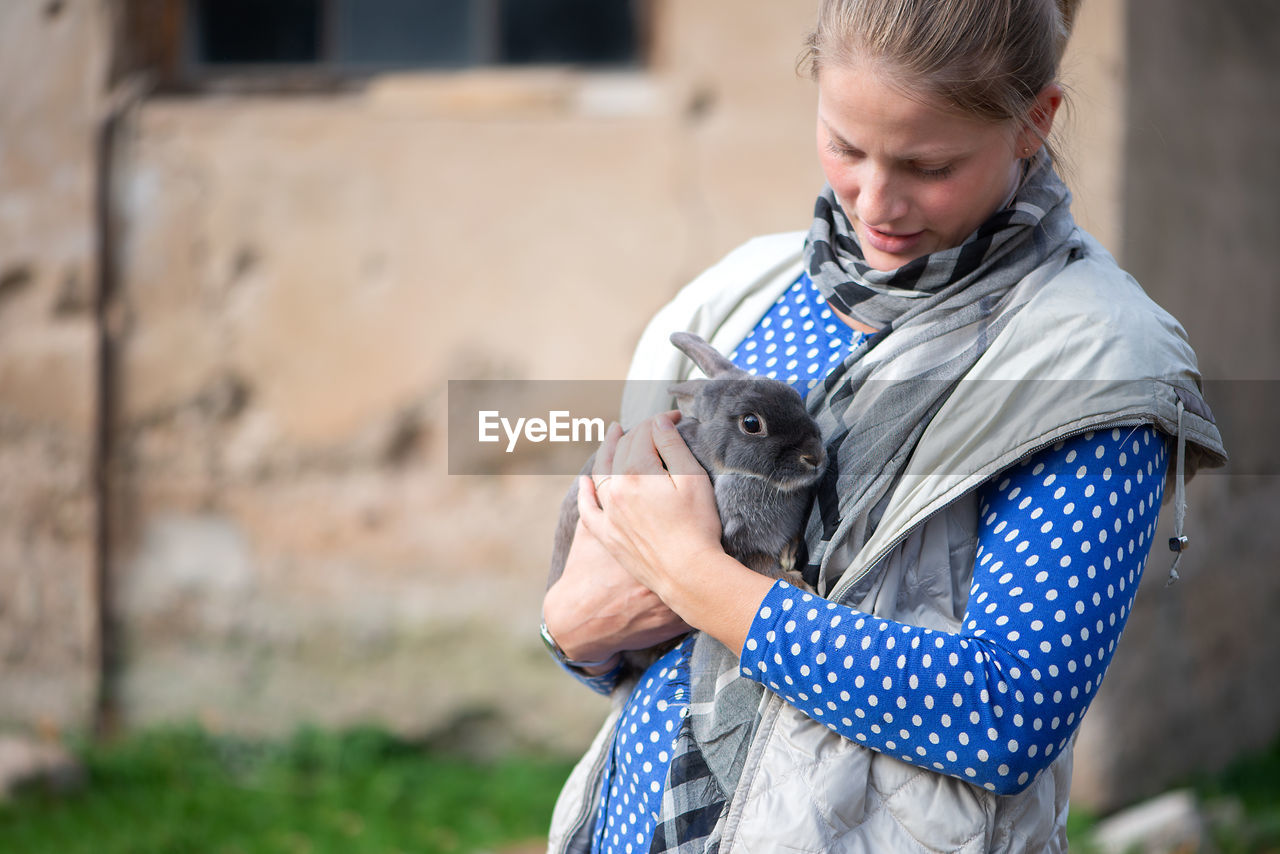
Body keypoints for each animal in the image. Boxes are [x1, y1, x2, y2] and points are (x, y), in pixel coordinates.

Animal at [542, 332, 824, 676]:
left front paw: (790, 552)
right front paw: (799, 585)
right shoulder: (737, 546)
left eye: (793, 395)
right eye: (751, 423)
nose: (814, 457)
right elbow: (762, 568)